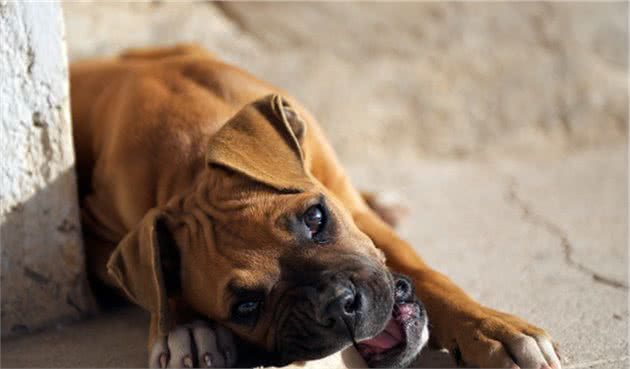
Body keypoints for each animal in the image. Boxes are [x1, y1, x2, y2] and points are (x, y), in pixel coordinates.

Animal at [70, 45, 564, 368]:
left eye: (315, 218)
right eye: (246, 307)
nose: (339, 305)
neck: (186, 155)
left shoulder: (352, 211)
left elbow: (429, 276)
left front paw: (493, 329)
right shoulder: (94, 237)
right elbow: (157, 281)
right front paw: (184, 329)